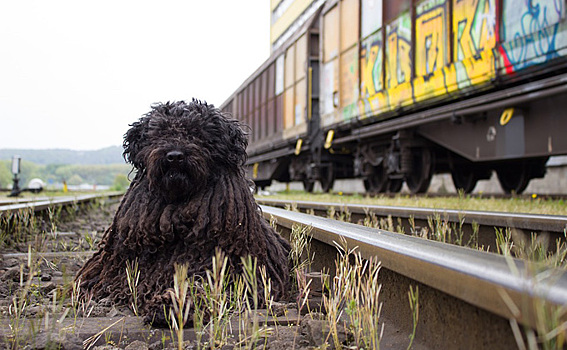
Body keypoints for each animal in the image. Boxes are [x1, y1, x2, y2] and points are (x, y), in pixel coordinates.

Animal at [74, 100, 288, 324]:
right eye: (161, 132)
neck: (176, 213)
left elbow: (205, 285)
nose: (175, 156)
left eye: (197, 133)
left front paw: (175, 303)